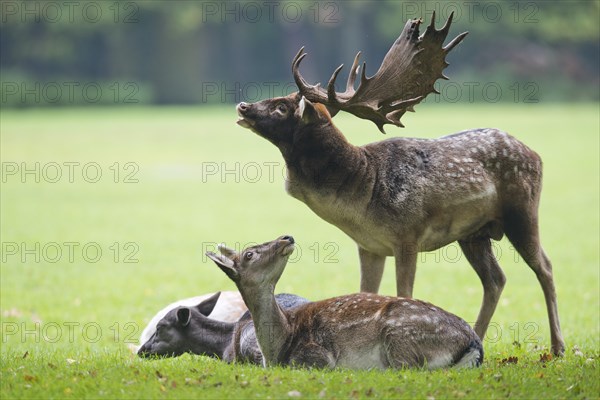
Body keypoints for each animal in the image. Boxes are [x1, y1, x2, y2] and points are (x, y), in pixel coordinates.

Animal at [237, 12, 564, 356]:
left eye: (282, 107)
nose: (243, 105)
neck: (362, 190)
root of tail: (537, 155)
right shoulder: (369, 246)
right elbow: (365, 292)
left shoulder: (408, 235)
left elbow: (404, 293)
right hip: (474, 233)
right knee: (496, 279)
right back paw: (477, 337)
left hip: (522, 211)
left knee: (545, 266)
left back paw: (559, 347)